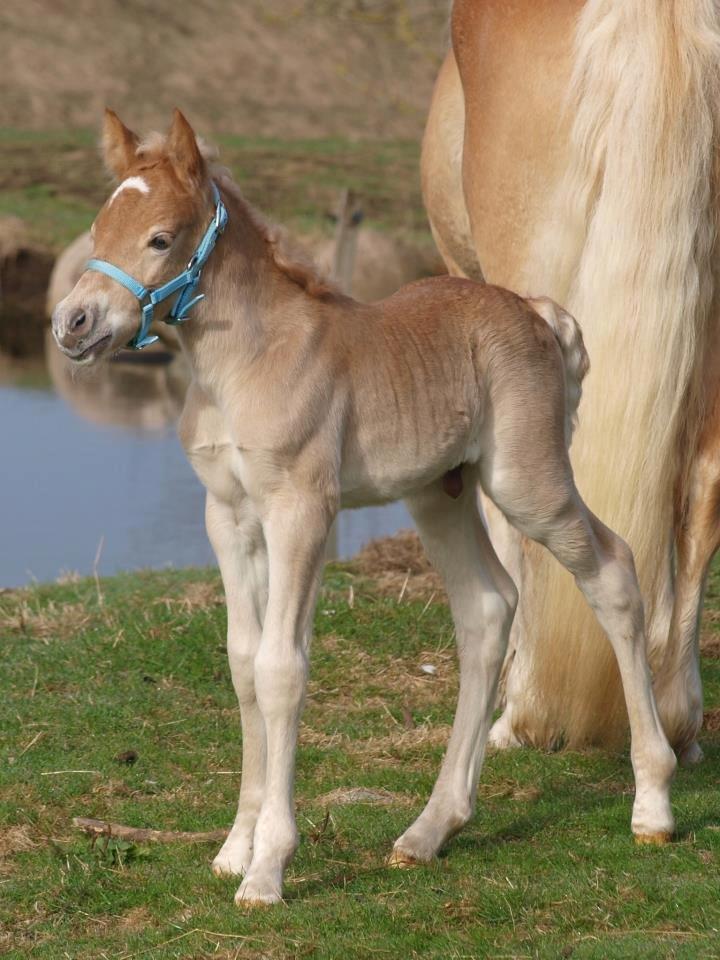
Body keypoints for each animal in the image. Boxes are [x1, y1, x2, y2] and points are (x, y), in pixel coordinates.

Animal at [50, 112, 676, 908]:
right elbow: (243, 662)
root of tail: (537, 311)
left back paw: (652, 806)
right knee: (486, 609)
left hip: (526, 482)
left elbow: (281, 669)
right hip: (439, 493)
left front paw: (267, 870)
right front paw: (233, 848)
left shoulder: (301, 511)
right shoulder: (228, 517)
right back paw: (428, 831)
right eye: (97, 228)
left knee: (613, 570)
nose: (73, 323)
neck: (243, 365)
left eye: (160, 238)